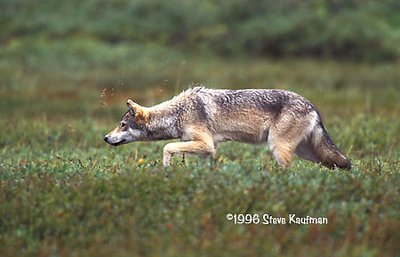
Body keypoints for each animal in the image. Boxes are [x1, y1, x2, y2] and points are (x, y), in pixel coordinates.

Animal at [104, 86, 352, 169]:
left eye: (123, 125)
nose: (105, 138)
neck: (177, 113)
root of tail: (312, 105)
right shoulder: (208, 150)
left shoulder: (206, 144)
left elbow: (167, 148)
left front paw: (166, 168)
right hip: (309, 153)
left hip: (278, 148)